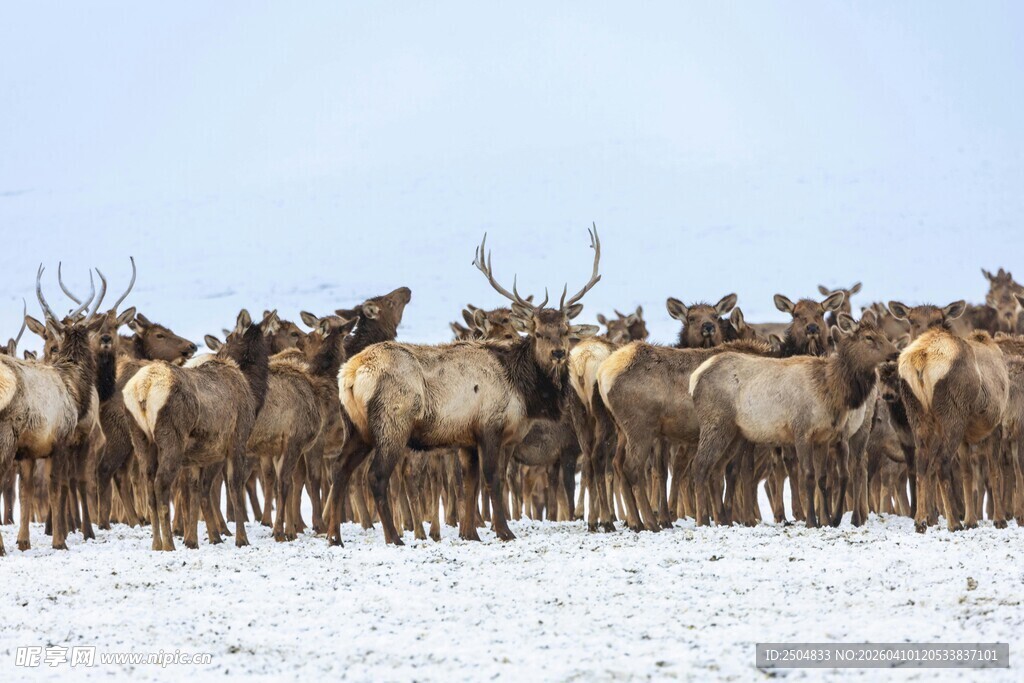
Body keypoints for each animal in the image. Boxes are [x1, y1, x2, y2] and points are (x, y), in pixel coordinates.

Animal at [123, 309, 280, 550]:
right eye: (227, 338)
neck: (253, 394)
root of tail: (144, 388)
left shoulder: (201, 453)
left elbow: (197, 489)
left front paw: (197, 539)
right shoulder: (236, 440)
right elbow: (233, 486)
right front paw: (240, 539)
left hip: (141, 438)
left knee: (149, 485)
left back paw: (157, 543)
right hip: (171, 438)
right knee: (161, 485)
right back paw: (169, 543)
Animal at [330, 226, 601, 546]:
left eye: (565, 330)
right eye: (537, 332)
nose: (558, 353)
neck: (523, 391)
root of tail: (350, 374)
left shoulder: (467, 439)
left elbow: (470, 484)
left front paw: (470, 533)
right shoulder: (489, 427)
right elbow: (492, 480)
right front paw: (504, 531)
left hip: (356, 427)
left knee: (340, 469)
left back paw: (334, 536)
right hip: (392, 423)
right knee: (376, 476)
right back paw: (394, 537)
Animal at [689, 314, 897, 528]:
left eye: (883, 334)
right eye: (868, 337)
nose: (896, 352)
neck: (830, 390)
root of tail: (695, 378)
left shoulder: (825, 437)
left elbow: (823, 478)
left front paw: (828, 519)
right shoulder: (802, 430)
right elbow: (808, 475)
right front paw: (812, 520)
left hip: (735, 433)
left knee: (716, 470)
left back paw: (723, 521)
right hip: (716, 423)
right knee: (700, 465)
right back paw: (703, 520)